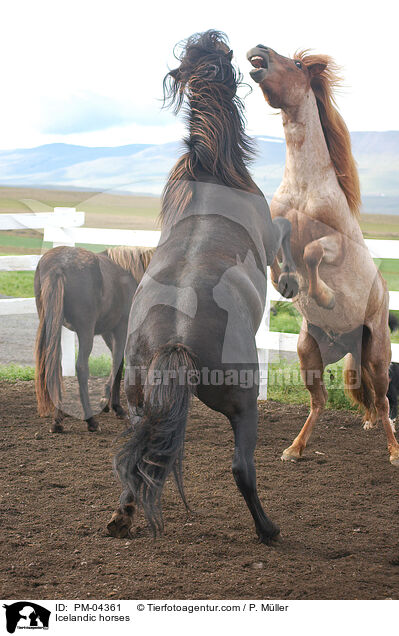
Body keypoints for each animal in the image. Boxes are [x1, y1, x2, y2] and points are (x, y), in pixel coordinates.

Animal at [34, 243, 155, 432]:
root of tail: (58, 266)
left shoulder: (108, 332)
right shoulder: (121, 329)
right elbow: (118, 364)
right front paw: (114, 406)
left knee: (56, 367)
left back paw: (58, 419)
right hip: (86, 330)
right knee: (82, 367)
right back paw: (91, 420)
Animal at [108, 29, 298, 544]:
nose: (255, 54)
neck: (210, 170)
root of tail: (177, 339)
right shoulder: (268, 230)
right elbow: (287, 231)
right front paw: (290, 280)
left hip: (139, 401)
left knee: (137, 460)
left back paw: (121, 519)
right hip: (244, 403)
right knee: (241, 469)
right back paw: (269, 529)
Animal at [247, 42, 399, 464]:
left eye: (299, 64)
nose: (259, 50)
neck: (305, 187)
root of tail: (346, 344)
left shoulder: (336, 243)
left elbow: (314, 254)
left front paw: (321, 294)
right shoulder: (276, 226)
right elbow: (275, 252)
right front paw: (283, 282)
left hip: (377, 356)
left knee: (383, 403)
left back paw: (394, 451)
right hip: (308, 353)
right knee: (320, 402)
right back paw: (295, 448)